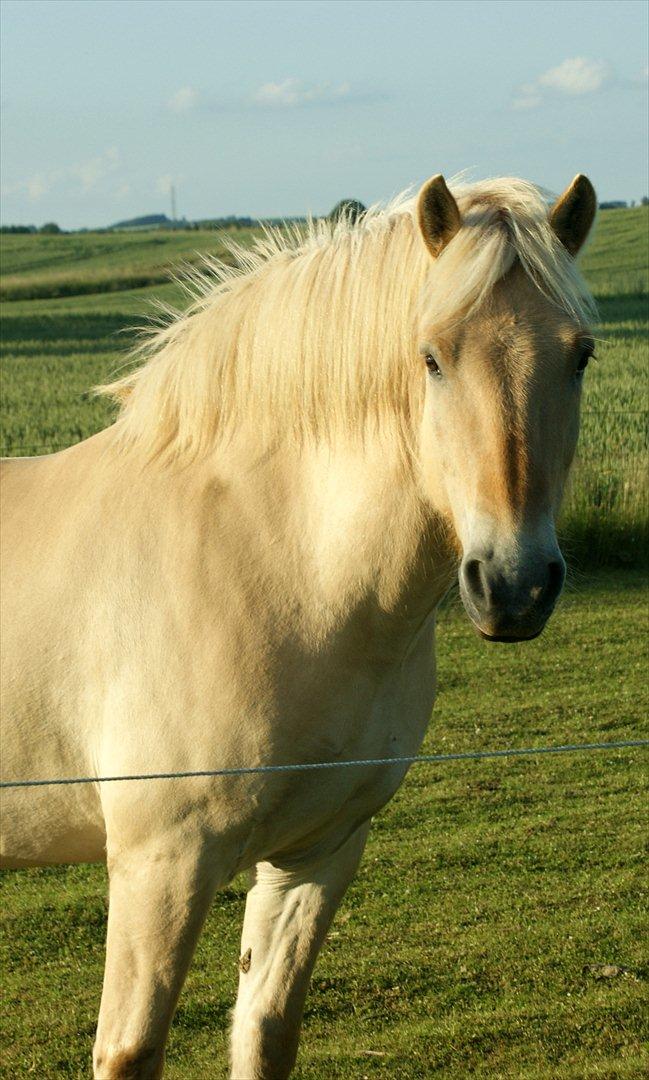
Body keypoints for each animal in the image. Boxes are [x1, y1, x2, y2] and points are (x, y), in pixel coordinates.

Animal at [1, 172, 596, 1075]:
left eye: (580, 355)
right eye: (430, 358)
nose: (514, 584)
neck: (272, 559)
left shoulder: (316, 853)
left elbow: (266, 1030)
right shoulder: (159, 864)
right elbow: (129, 1049)